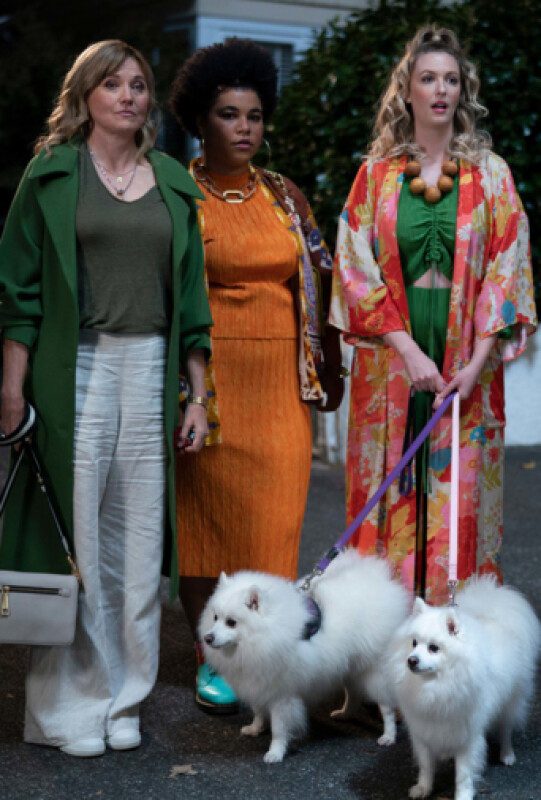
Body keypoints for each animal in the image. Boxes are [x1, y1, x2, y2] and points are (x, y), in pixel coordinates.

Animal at [199, 549, 410, 763]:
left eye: (231, 622)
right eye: (215, 617)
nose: (208, 638)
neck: (263, 636)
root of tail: (378, 579)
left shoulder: (282, 694)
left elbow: (278, 728)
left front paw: (275, 753)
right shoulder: (258, 684)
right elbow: (258, 712)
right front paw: (255, 728)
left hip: (374, 671)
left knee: (386, 707)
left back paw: (388, 735)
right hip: (349, 666)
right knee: (354, 693)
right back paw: (344, 713)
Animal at [387, 577, 541, 800]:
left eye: (434, 648)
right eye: (414, 643)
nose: (412, 660)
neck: (436, 685)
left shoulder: (467, 735)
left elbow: (463, 774)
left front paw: (463, 795)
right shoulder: (423, 731)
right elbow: (426, 766)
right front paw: (423, 788)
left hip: (511, 701)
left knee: (506, 728)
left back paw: (507, 754)